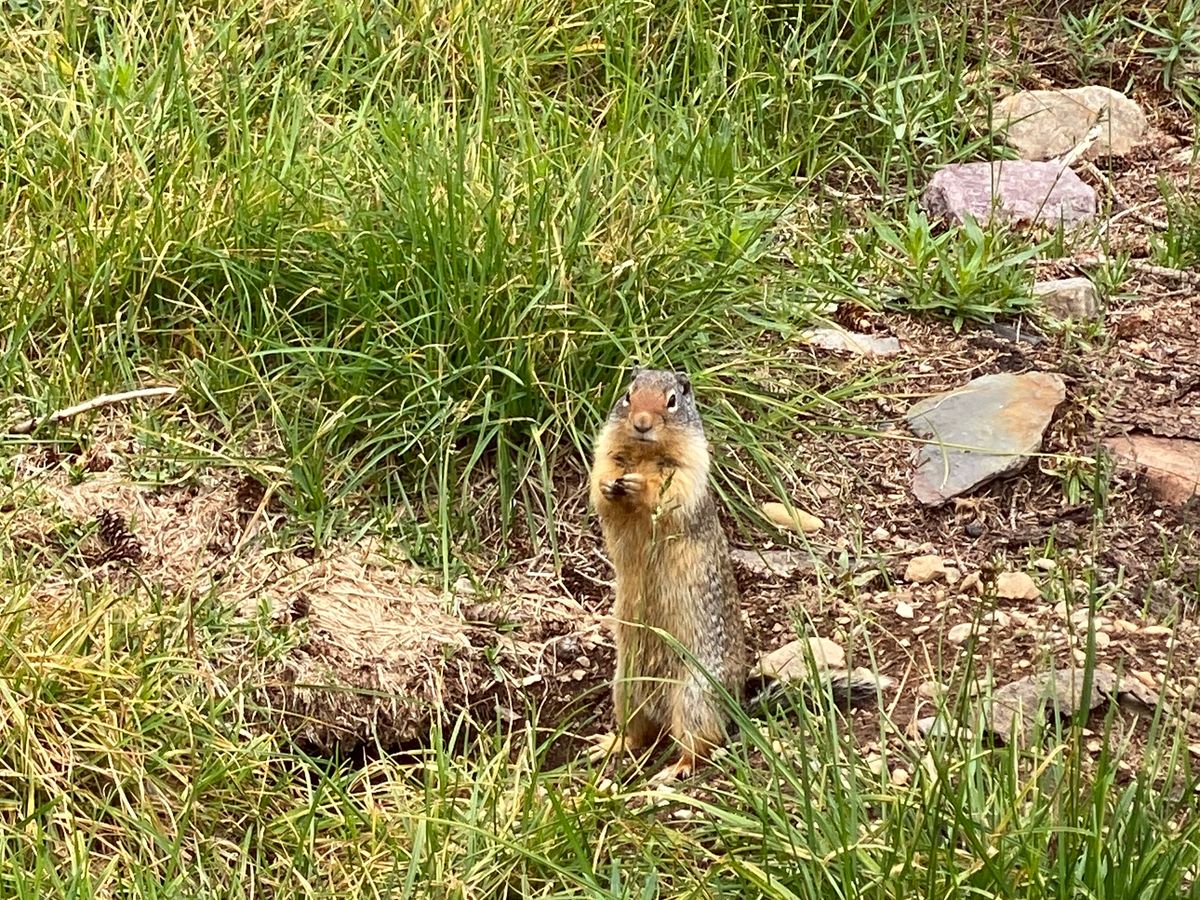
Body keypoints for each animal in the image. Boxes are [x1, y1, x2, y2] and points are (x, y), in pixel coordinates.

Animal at [586, 365, 885, 783]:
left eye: (672, 400)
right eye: (628, 395)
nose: (642, 423)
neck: (645, 452)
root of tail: (735, 707)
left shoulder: (691, 469)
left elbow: (669, 491)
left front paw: (639, 483)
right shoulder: (606, 453)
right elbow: (601, 485)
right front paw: (610, 484)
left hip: (693, 697)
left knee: (702, 744)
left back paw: (674, 769)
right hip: (624, 688)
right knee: (638, 735)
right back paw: (609, 745)